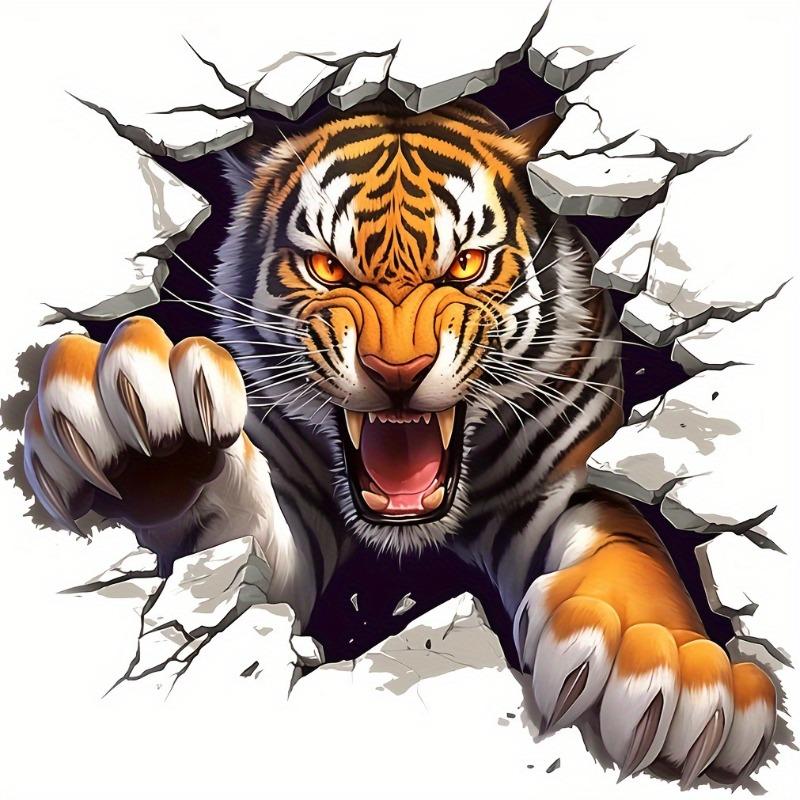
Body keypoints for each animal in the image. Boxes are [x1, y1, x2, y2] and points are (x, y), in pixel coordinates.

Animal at [23, 98, 776, 787]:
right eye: (327, 269)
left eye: (466, 265)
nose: (397, 372)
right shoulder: (292, 510)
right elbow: (238, 527)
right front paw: (145, 436)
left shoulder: (557, 485)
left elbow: (629, 542)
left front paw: (670, 668)